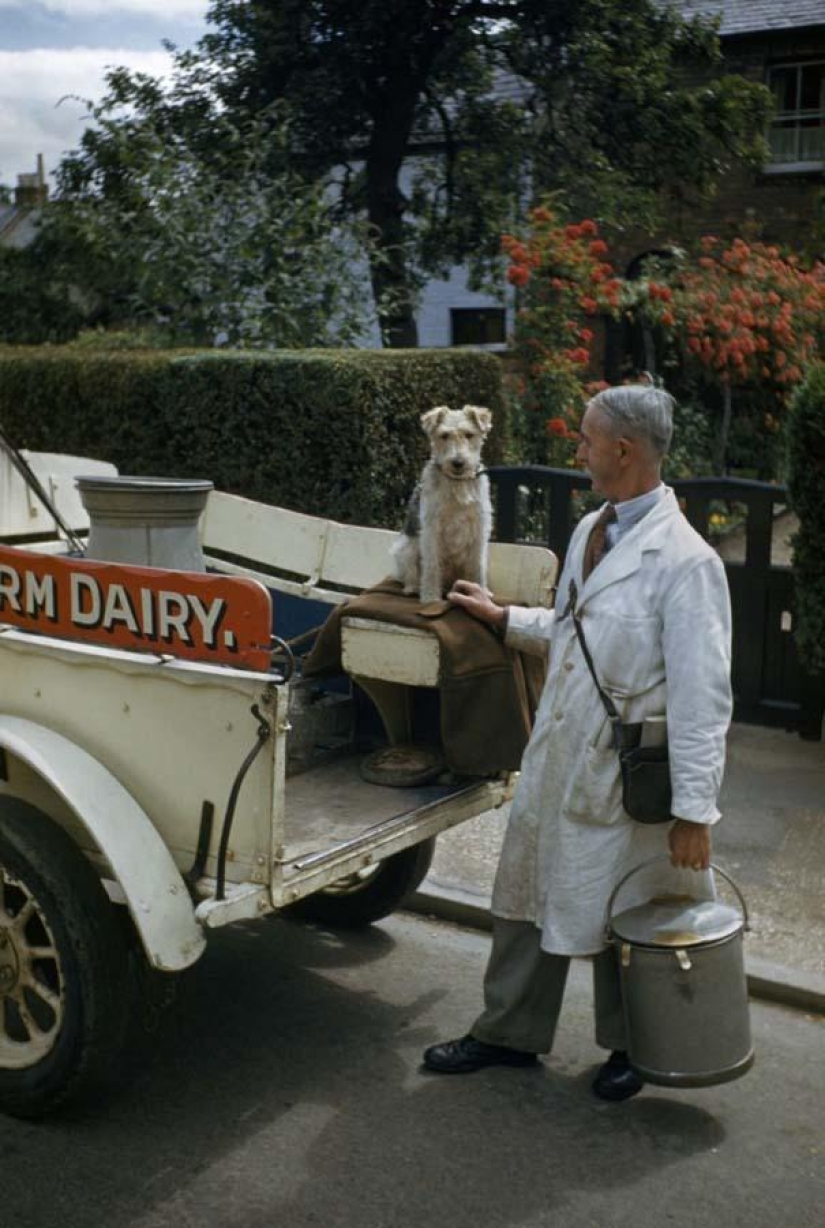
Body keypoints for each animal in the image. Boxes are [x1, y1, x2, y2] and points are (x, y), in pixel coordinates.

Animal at [390, 407, 493, 604]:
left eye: (469, 434)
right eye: (444, 435)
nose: (458, 463)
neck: (457, 483)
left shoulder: (479, 528)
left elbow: (479, 565)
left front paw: (482, 593)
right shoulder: (432, 528)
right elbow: (431, 565)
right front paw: (431, 598)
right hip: (405, 549)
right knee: (410, 575)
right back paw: (414, 588)